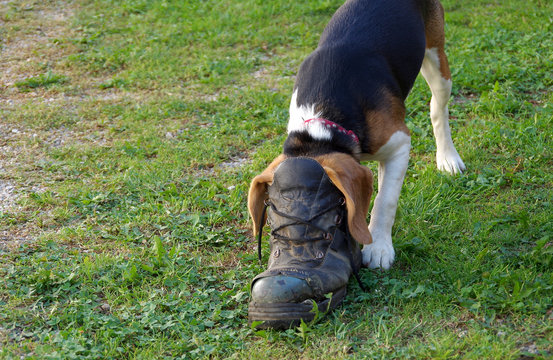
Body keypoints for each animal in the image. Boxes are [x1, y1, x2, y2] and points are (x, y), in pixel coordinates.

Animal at [246, 0, 462, 270]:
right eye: (274, 210)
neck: (323, 126)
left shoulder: (399, 143)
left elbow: (384, 200)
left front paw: (379, 247)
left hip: (437, 59)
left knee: (438, 108)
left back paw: (448, 158)